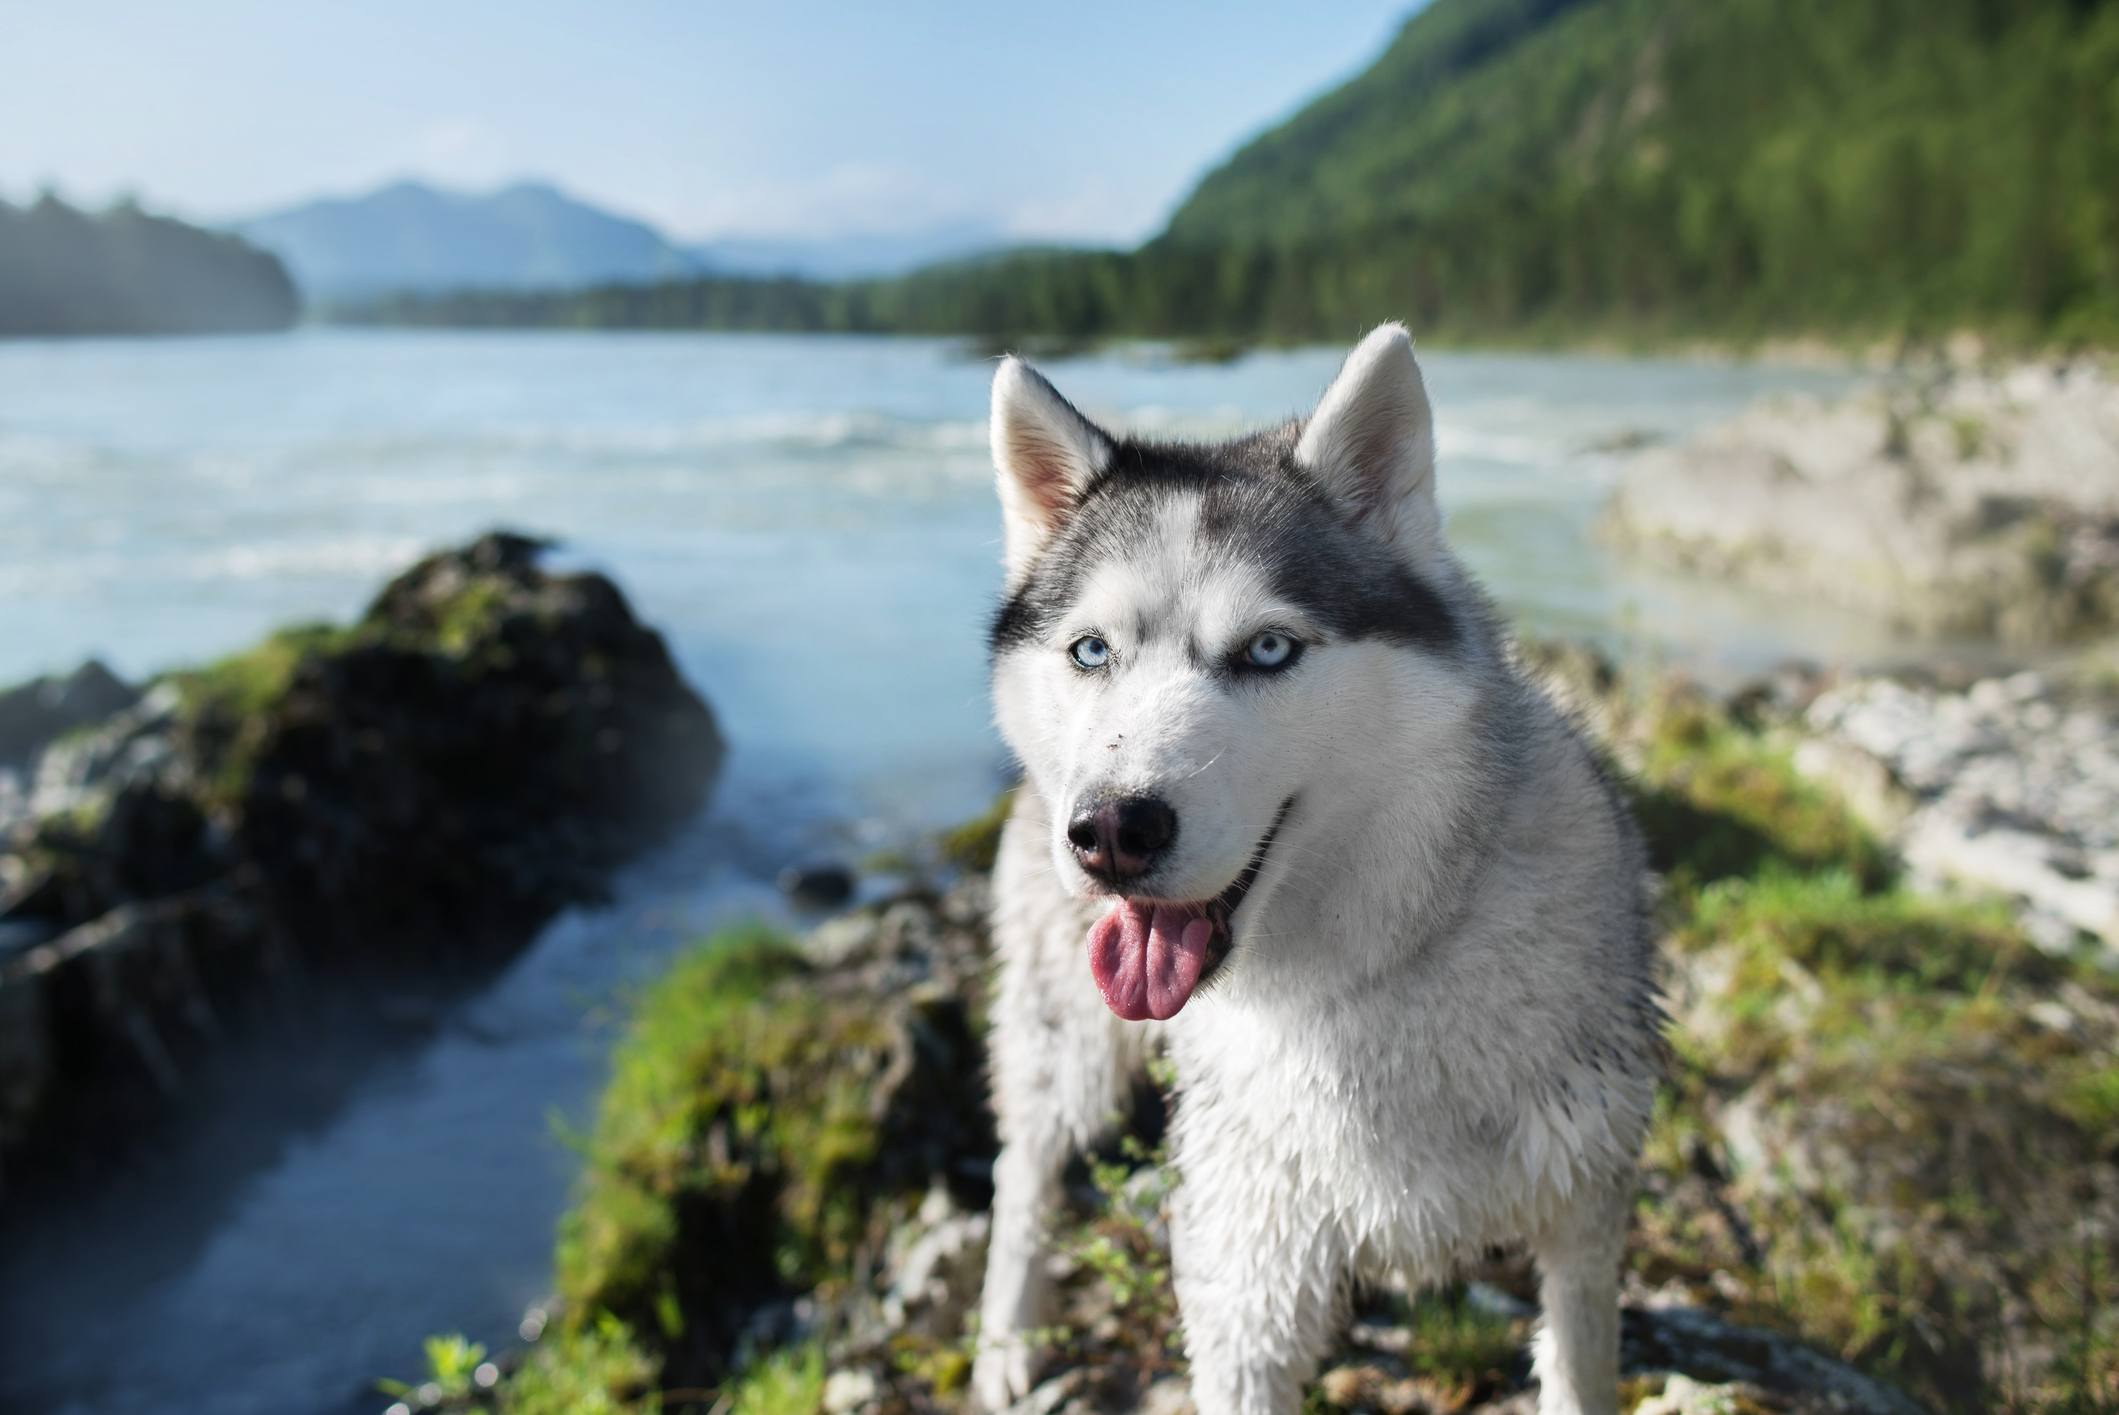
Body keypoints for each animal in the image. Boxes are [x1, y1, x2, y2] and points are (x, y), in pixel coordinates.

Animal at [970, 328, 1661, 1415]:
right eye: (1090, 650)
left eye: (1266, 648)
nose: (1110, 831)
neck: (1369, 970)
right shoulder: (1245, 1259)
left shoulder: (1584, 1206)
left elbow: (1581, 1367)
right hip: (1067, 1036)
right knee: (1026, 1163)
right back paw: (1007, 1330)